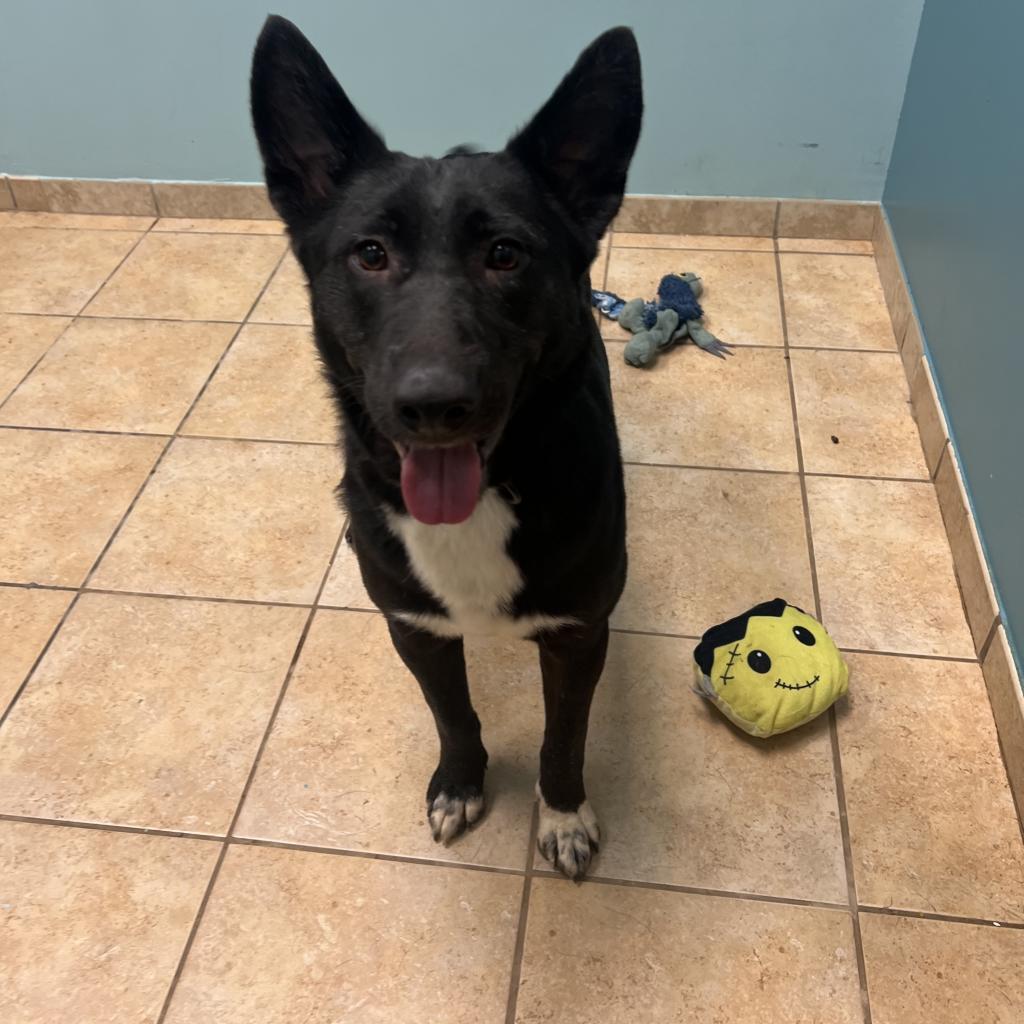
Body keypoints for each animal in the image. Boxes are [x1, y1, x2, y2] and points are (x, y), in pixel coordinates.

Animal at [249, 14, 638, 880]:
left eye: (505, 254)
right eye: (370, 253)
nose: (431, 407)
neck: (491, 493)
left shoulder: (579, 635)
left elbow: (565, 738)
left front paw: (563, 814)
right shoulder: (415, 629)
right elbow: (453, 714)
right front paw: (460, 784)